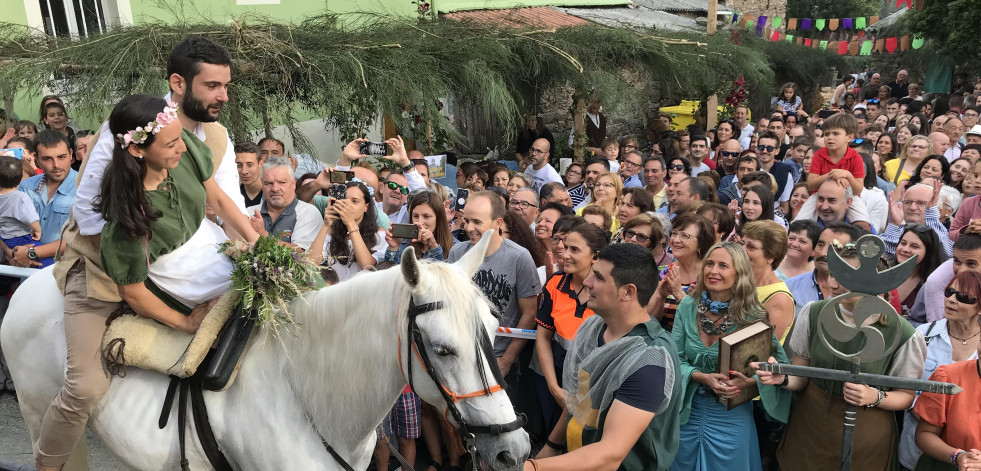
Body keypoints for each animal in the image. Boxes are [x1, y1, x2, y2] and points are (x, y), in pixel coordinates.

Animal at [1, 234, 528, 470]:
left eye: (494, 329)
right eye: (443, 349)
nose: (514, 449)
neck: (311, 396)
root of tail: (29, 286)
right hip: (42, 414)